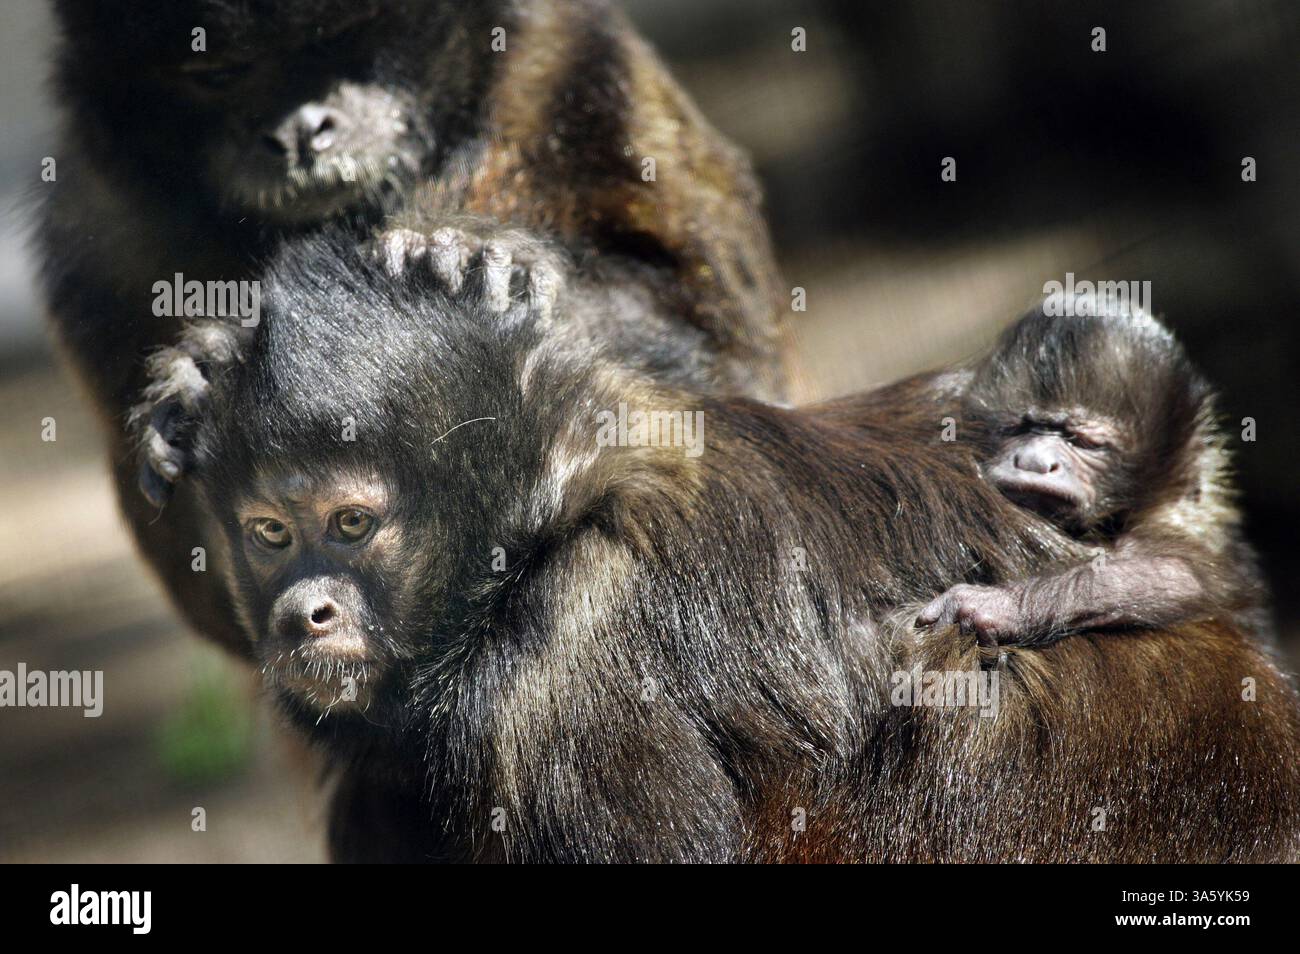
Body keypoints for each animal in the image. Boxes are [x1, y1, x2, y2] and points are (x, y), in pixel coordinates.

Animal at [40, 0, 784, 659]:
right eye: (221, 74)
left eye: (340, 42)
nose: (302, 131)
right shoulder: (97, 223)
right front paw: (207, 370)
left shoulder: (577, 60)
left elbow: (723, 368)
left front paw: (474, 264)